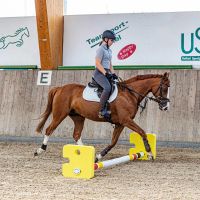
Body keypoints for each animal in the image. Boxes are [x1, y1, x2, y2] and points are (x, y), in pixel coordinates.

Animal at [34, 72, 170, 161]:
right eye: (164, 87)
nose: (166, 106)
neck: (130, 94)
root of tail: (60, 88)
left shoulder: (120, 123)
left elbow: (113, 142)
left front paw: (98, 156)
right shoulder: (126, 120)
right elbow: (142, 132)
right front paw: (150, 152)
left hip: (78, 117)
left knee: (76, 134)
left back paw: (84, 152)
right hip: (60, 114)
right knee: (49, 129)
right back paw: (40, 150)